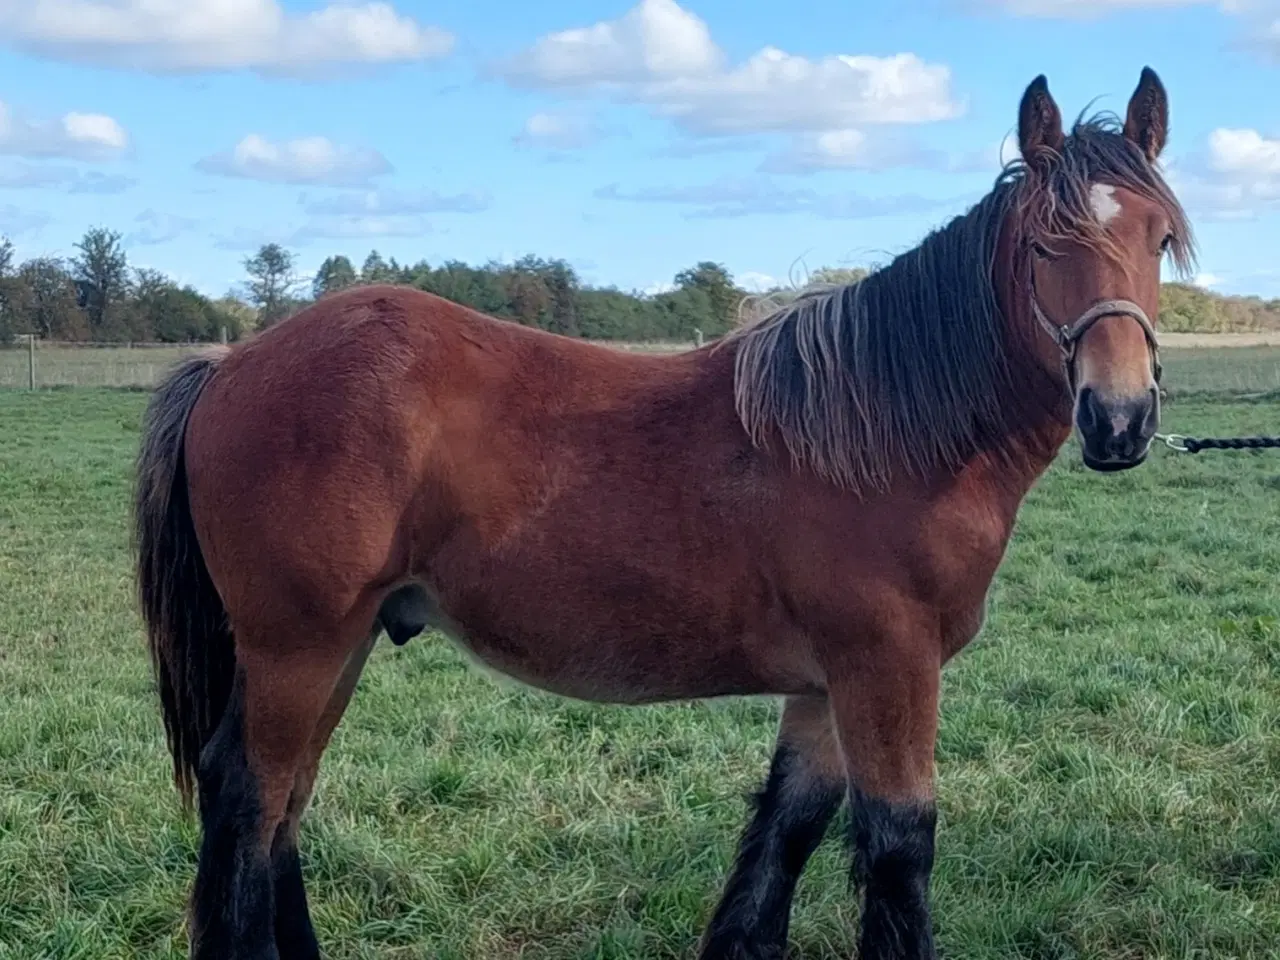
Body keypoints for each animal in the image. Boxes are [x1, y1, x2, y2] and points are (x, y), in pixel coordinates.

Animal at [129, 69, 1187, 960]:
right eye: (1044, 245)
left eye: (1158, 240)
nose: (1120, 419)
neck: (886, 434)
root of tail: (232, 363)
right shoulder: (887, 667)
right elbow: (899, 848)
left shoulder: (825, 686)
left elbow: (784, 835)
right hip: (297, 649)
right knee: (250, 798)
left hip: (336, 646)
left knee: (284, 806)